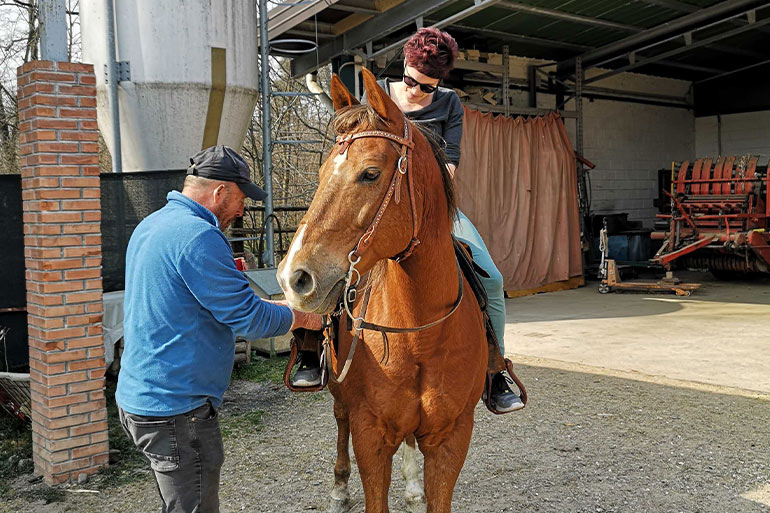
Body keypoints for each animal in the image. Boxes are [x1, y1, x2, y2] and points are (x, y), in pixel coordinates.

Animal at [277, 67, 488, 513]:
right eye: (320, 174)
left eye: (370, 173)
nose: (293, 277)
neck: (420, 334)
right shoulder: (370, 438)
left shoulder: (451, 438)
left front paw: (416, 486)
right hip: (340, 392)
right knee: (339, 417)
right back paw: (340, 488)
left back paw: (411, 485)